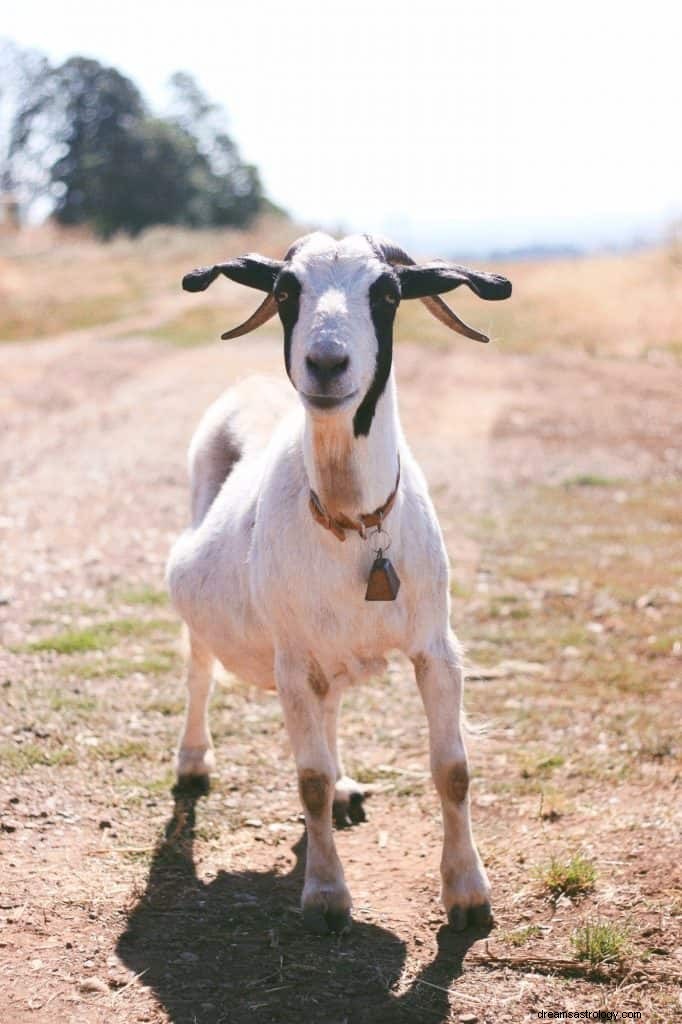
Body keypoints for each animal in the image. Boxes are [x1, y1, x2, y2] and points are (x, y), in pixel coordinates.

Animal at [165, 232, 509, 937]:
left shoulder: (436, 647)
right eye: (285, 289)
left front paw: (467, 896)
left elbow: (453, 769)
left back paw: (350, 789)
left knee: (329, 708)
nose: (325, 364)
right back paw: (193, 762)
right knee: (198, 671)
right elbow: (310, 780)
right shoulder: (292, 658)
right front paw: (326, 896)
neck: (354, 521)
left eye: (388, 292)